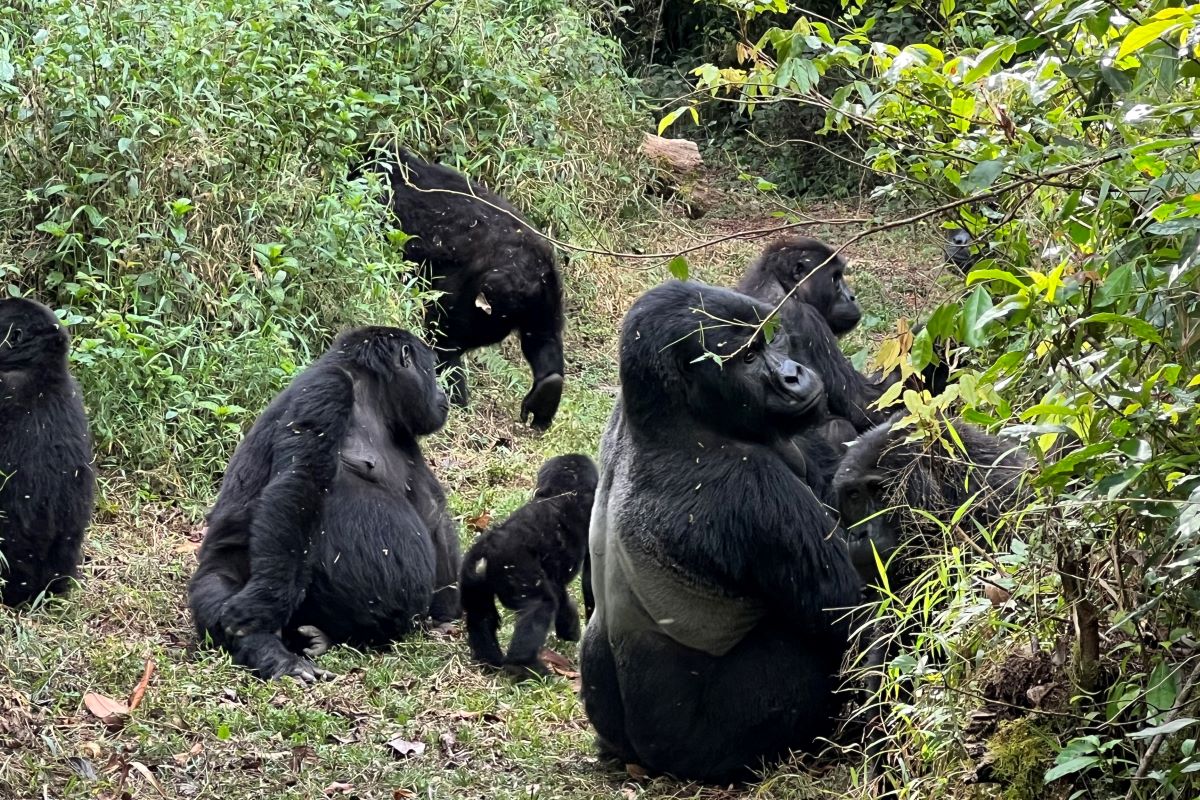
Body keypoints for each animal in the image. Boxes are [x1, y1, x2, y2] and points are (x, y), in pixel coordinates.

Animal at [189, 326, 460, 681]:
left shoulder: (405, 435)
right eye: (431, 370)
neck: (370, 395)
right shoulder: (327, 388)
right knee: (216, 589)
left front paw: (450, 610)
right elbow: (299, 485)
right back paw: (271, 652)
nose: (444, 395)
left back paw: (320, 639)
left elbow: (432, 510)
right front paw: (260, 609)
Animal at [350, 146, 566, 429]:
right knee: (542, 337)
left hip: (486, 296)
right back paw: (547, 391)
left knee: (443, 338)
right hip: (543, 295)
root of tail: (530, 279)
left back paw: (452, 399)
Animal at [458, 453, 600, 681]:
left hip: (472, 578)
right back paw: (523, 666)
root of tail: (485, 550)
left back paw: (489, 661)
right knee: (540, 606)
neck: (562, 492)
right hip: (515, 569)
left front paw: (570, 628)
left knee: (480, 615)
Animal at [580, 280, 864, 782]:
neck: (674, 419)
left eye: (770, 342)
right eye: (748, 357)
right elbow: (849, 609)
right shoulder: (751, 484)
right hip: (700, 752)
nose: (793, 375)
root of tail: (640, 758)